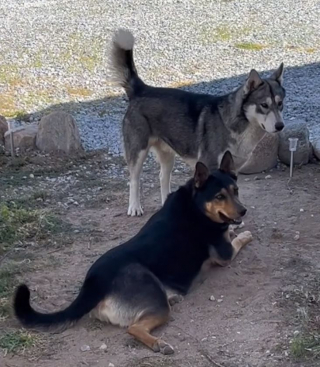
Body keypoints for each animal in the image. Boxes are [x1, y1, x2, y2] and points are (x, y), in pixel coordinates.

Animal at [14, 151, 252, 356]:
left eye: (236, 191)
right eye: (219, 196)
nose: (243, 211)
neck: (196, 203)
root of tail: (93, 283)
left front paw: (236, 228)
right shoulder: (225, 254)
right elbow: (238, 239)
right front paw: (245, 233)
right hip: (153, 295)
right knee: (134, 328)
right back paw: (159, 344)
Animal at [109, 30, 284, 218]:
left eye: (280, 103)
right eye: (264, 105)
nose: (280, 126)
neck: (235, 122)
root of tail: (142, 89)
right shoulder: (210, 166)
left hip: (167, 154)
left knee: (163, 177)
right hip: (138, 152)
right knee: (134, 180)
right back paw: (134, 207)